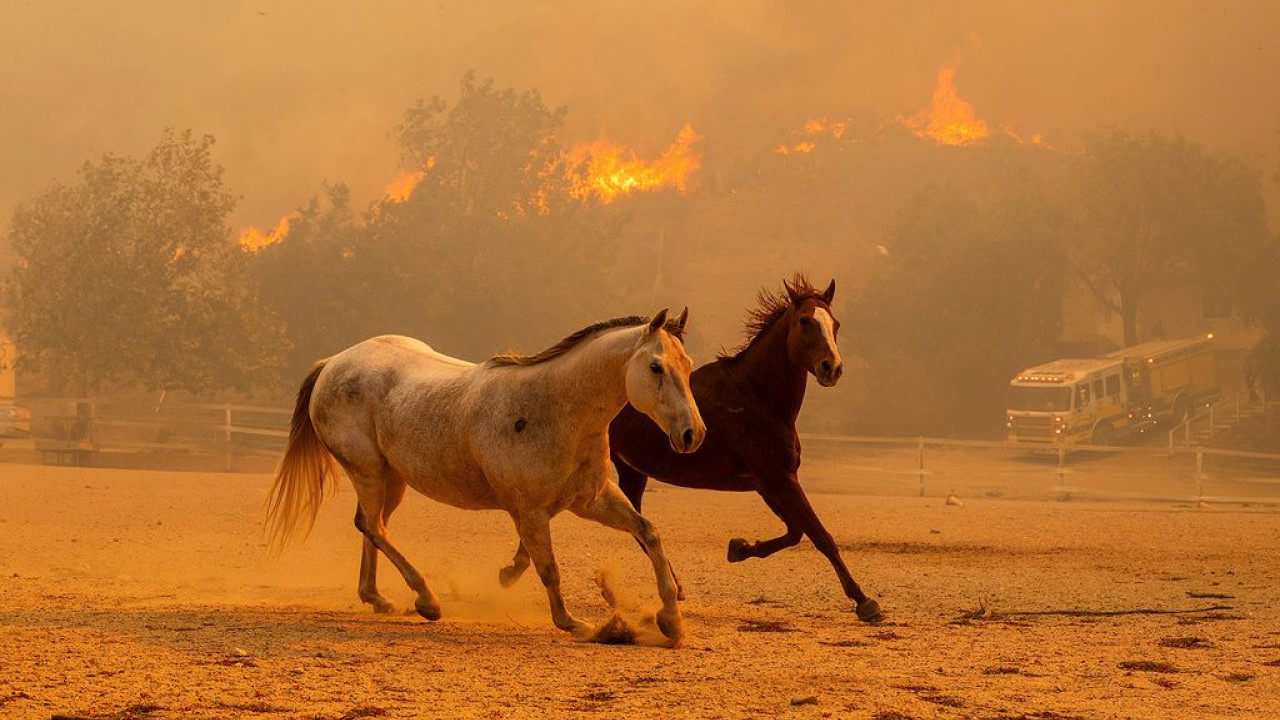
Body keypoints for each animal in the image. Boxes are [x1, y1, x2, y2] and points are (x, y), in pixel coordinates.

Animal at [264, 307, 706, 638]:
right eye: (656, 367)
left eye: (687, 365)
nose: (692, 434)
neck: (554, 409)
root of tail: (333, 363)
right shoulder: (530, 510)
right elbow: (549, 567)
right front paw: (571, 622)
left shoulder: (592, 500)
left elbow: (648, 532)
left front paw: (671, 622)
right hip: (368, 471)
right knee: (372, 526)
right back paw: (427, 600)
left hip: (394, 479)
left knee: (373, 526)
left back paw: (377, 598)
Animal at [609, 274, 880, 622]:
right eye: (805, 321)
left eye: (835, 323)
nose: (831, 368)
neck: (756, 395)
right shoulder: (779, 479)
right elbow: (820, 535)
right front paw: (864, 601)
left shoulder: (768, 483)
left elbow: (795, 532)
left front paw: (739, 548)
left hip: (631, 470)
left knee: (637, 525)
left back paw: (677, 588)